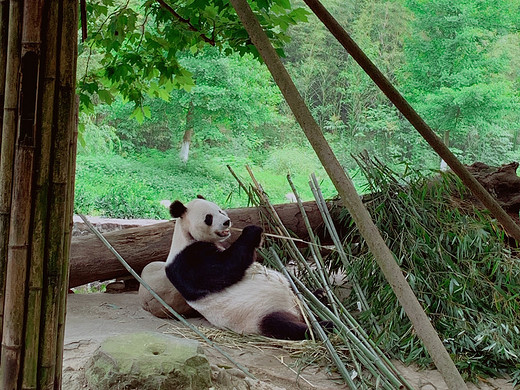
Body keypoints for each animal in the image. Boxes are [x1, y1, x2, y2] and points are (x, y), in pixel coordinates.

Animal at [165, 198, 314, 342]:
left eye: (220, 210)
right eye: (208, 217)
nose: (226, 222)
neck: (186, 235)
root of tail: (297, 313)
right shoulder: (187, 261)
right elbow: (225, 267)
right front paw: (252, 231)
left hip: (294, 300)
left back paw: (317, 296)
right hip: (260, 315)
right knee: (284, 326)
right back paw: (317, 327)